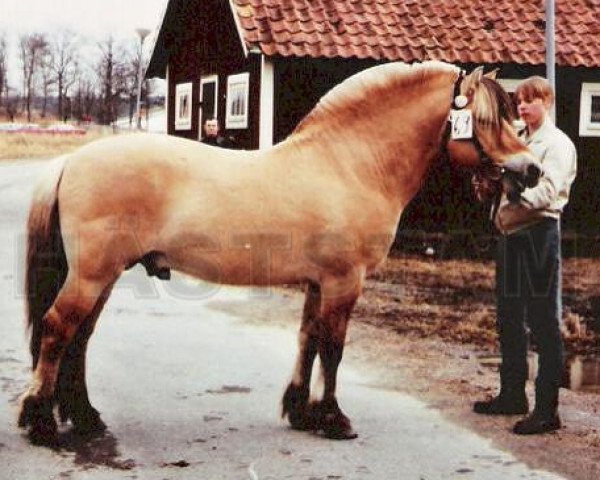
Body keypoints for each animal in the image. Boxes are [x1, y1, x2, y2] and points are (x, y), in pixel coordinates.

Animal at [19, 61, 544, 446]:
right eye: (485, 121)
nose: (532, 170)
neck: (349, 163)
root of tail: (71, 160)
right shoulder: (344, 281)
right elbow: (332, 348)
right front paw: (334, 419)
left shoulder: (318, 283)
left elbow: (307, 340)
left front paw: (300, 412)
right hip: (91, 274)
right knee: (58, 329)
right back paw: (40, 422)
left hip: (103, 276)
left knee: (80, 339)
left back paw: (86, 419)